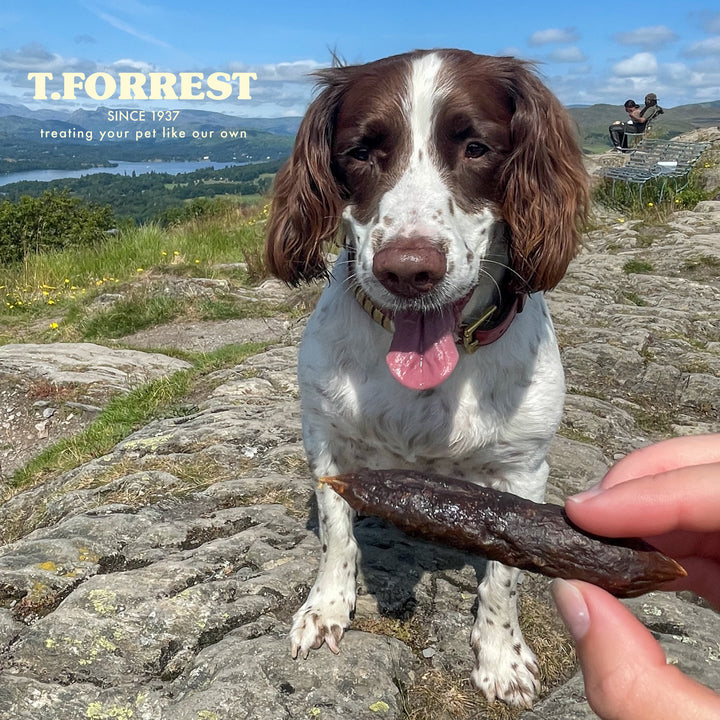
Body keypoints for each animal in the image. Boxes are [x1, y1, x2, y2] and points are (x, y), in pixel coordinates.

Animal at [266, 50, 592, 708]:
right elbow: (337, 534)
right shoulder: (326, 441)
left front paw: (501, 656)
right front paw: (326, 609)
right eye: (361, 151)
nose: (408, 270)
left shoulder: (524, 471)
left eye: (476, 147)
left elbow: (505, 575)